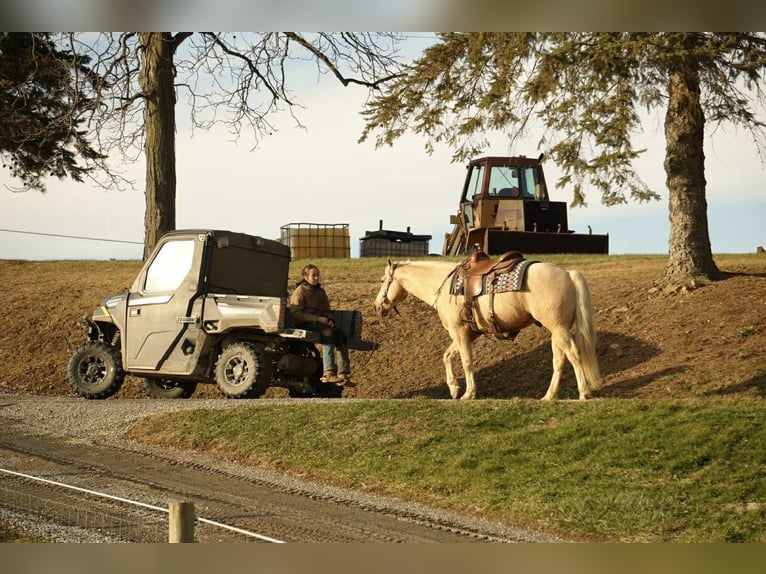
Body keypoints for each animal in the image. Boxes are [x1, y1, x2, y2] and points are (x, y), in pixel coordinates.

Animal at [373, 256, 601, 400]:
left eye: (383, 280)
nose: (377, 306)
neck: (446, 286)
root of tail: (569, 274)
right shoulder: (467, 334)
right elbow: (447, 356)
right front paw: (454, 388)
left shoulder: (458, 331)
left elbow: (466, 362)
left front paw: (468, 393)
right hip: (557, 331)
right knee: (559, 361)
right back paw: (549, 396)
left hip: (560, 330)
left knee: (574, 354)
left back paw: (584, 393)